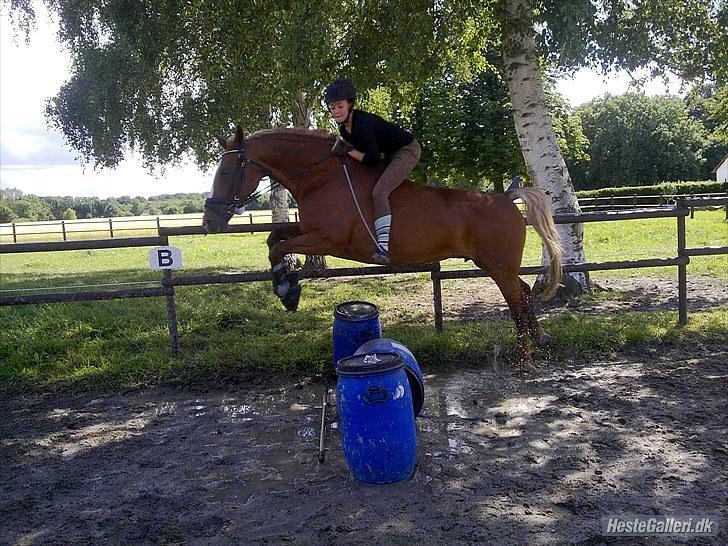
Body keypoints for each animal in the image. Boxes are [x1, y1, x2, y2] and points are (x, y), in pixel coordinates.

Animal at [205, 125, 564, 372]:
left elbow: (278, 248)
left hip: (498, 268)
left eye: (227, 171)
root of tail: (506, 197)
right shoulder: (308, 230)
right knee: (524, 293)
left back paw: (524, 362)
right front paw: (288, 287)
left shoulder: (327, 239)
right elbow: (274, 238)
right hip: (496, 266)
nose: (210, 221)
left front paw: (287, 290)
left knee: (516, 302)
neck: (321, 177)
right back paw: (542, 341)